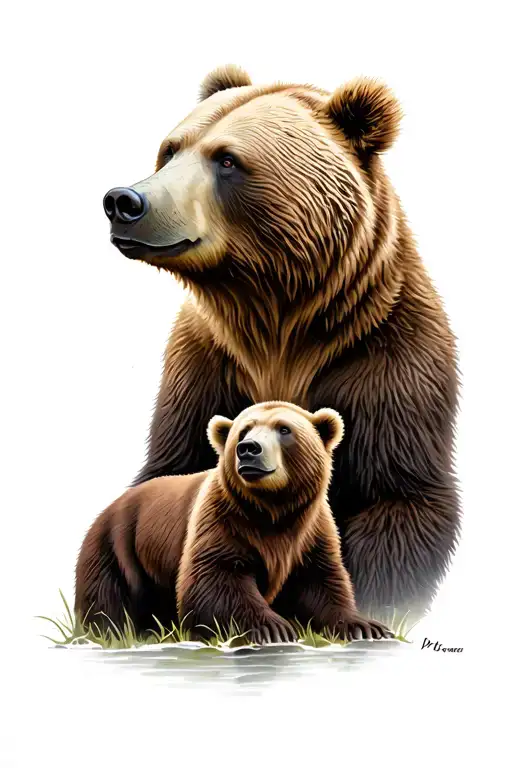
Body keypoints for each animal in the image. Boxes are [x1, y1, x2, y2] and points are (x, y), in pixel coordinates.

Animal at [75, 402, 392, 643]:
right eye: (243, 431)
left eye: (284, 429)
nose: (249, 448)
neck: (272, 509)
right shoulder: (223, 520)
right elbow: (215, 577)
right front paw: (274, 627)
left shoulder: (310, 532)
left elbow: (321, 581)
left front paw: (366, 626)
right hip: (118, 548)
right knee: (107, 598)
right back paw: (111, 632)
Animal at [102, 65, 460, 624]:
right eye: (170, 150)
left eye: (227, 159)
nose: (125, 201)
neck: (276, 318)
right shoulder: (206, 363)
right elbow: (179, 473)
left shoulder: (385, 357)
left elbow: (399, 498)